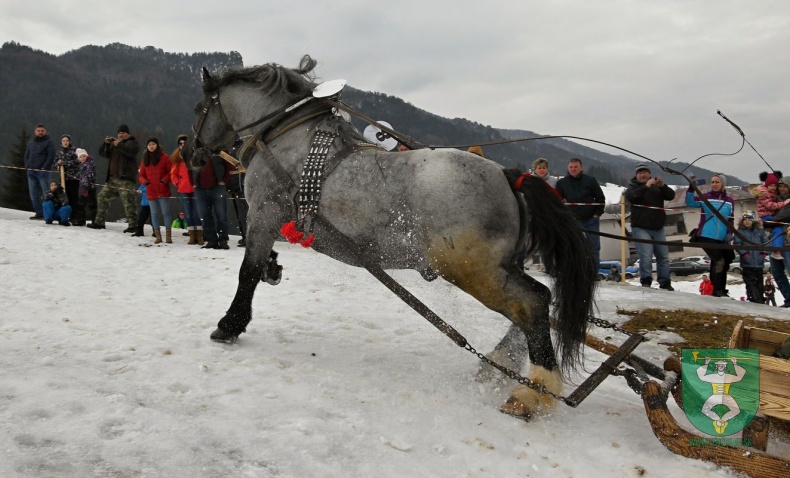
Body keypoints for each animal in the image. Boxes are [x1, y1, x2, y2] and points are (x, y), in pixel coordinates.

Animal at [183, 55, 596, 418]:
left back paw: (532, 393)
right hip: (501, 267)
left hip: (473, 271)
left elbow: (247, 272)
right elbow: (260, 265)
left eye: (199, 109)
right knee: (537, 301)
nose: (192, 154)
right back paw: (500, 366)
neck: (288, 138)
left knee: (531, 305)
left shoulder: (262, 215)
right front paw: (272, 269)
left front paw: (230, 324)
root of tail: (510, 177)